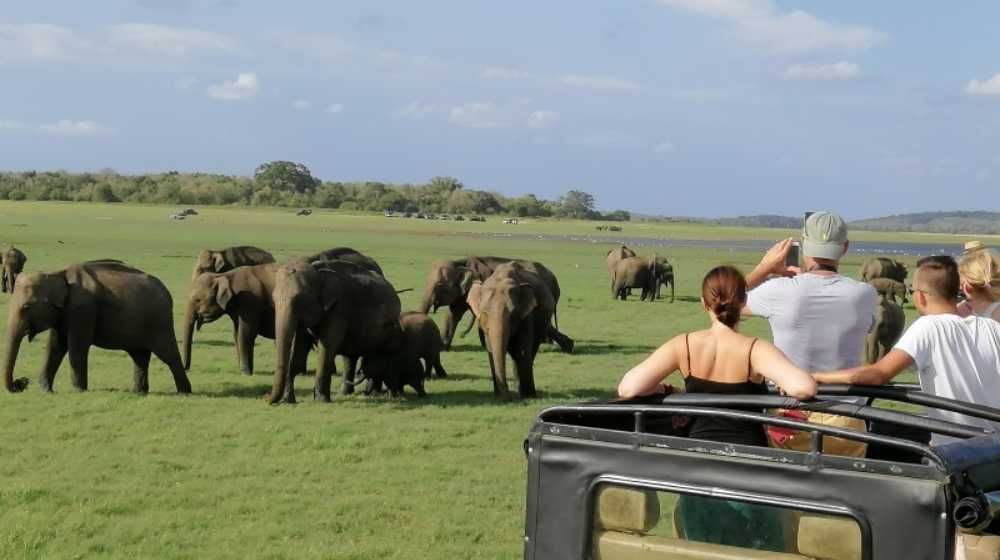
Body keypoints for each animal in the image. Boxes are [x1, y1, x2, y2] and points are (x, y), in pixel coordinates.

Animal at [3, 260, 192, 394]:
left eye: (26, 307)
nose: (21, 383)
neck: (57, 273)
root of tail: (167, 293)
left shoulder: (82, 309)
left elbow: (76, 347)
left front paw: (79, 390)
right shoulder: (63, 313)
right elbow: (55, 346)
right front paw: (46, 390)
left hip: (160, 322)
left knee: (168, 355)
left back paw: (184, 392)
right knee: (139, 356)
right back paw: (139, 392)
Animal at [268, 258, 402, 404]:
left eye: (299, 299)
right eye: (273, 299)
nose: (267, 399)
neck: (317, 271)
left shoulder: (339, 308)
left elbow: (326, 347)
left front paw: (321, 400)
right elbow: (299, 350)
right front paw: (287, 401)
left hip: (387, 332)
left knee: (377, 355)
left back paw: (374, 394)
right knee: (351, 358)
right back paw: (346, 393)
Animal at [419, 256, 573, 353]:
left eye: (439, 285)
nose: (463, 335)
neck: (461, 263)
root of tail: (554, 278)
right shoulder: (463, 293)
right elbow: (453, 315)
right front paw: (443, 347)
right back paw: (566, 346)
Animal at [466, 262, 555, 400]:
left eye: (513, 315)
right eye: (485, 313)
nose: (508, 397)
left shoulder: (527, 316)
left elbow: (523, 350)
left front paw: (527, 396)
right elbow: (490, 350)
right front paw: (497, 396)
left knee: (529, 351)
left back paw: (525, 392)